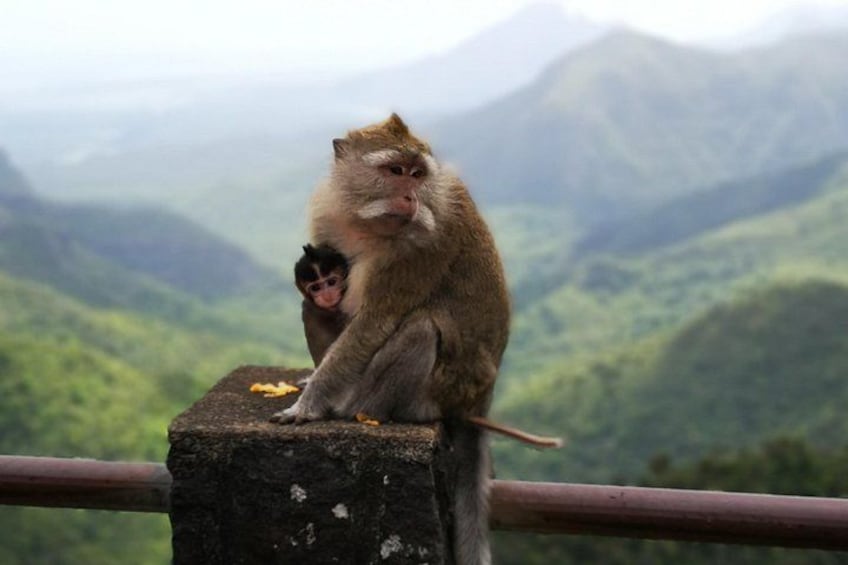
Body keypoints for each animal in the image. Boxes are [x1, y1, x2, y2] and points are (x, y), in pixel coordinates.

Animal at [271, 113, 513, 564]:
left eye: (418, 175)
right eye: (395, 171)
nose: (410, 198)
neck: (369, 225)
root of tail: (478, 397)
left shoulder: (421, 246)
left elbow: (375, 321)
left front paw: (310, 403)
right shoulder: (330, 215)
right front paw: (311, 382)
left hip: (438, 391)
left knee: (421, 329)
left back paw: (356, 408)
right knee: (317, 310)